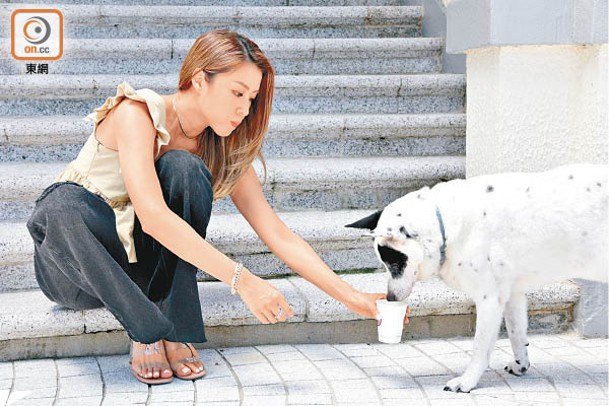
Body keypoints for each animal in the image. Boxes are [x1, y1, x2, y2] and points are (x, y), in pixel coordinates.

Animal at [344, 163, 604, 392]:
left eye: (394, 262)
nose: (389, 298)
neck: (445, 225)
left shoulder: (489, 300)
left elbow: (480, 347)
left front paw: (467, 381)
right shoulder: (512, 296)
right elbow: (516, 334)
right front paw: (521, 365)